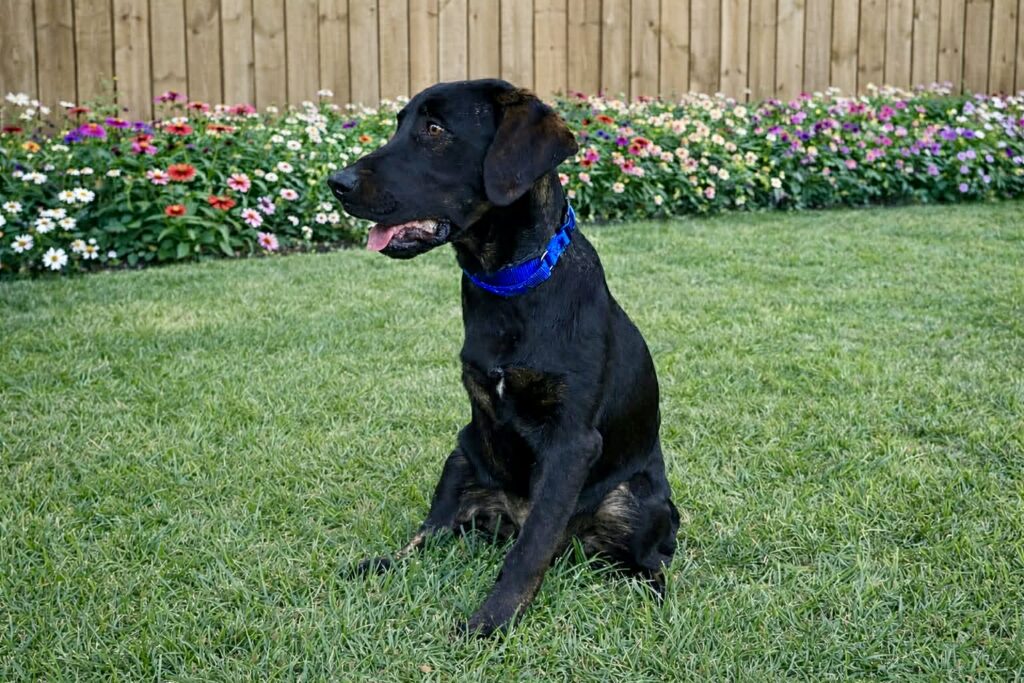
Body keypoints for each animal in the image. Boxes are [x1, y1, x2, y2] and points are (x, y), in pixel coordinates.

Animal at [328, 79, 679, 636]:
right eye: (399, 125)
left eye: (434, 129)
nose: (335, 183)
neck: (511, 287)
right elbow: (442, 531)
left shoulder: (572, 442)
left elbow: (531, 548)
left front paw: (490, 620)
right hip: (461, 456)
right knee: (430, 534)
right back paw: (379, 564)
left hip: (635, 500)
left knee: (646, 557)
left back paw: (650, 592)